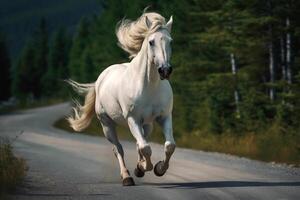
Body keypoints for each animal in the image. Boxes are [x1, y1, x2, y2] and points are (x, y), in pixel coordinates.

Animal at [67, 12, 176, 186]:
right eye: (151, 42)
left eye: (170, 41)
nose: (165, 70)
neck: (149, 86)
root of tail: (101, 78)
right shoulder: (133, 119)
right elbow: (145, 148)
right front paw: (144, 167)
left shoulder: (164, 117)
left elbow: (169, 146)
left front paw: (158, 169)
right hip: (107, 125)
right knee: (118, 149)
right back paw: (127, 177)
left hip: (147, 124)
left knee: (140, 142)